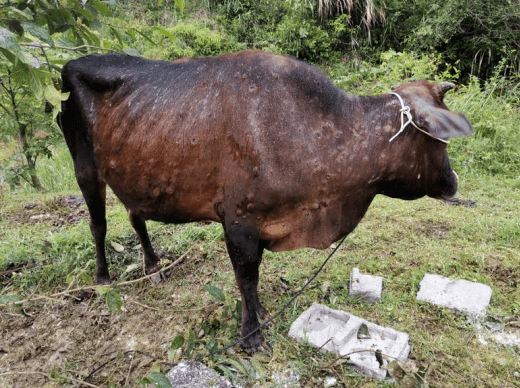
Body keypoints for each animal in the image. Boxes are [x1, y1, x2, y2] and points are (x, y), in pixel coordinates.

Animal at [59, 50, 474, 352]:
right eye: (441, 137)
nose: (453, 180)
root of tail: (73, 62)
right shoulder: (239, 223)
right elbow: (247, 278)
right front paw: (251, 335)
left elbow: (252, 282)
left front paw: (256, 312)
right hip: (84, 166)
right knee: (98, 223)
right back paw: (102, 278)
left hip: (133, 172)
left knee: (135, 215)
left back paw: (153, 265)